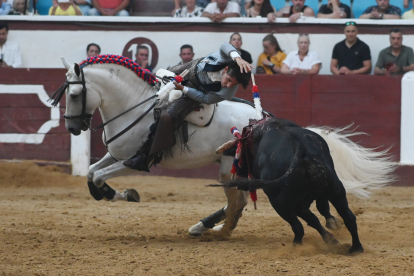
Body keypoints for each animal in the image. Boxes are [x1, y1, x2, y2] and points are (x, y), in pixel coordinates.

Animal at [55, 55, 394, 235]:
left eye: (74, 94)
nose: (72, 127)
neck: (135, 105)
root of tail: (264, 120)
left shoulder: (134, 162)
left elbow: (99, 177)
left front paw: (126, 194)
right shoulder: (115, 155)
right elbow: (91, 173)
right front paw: (114, 193)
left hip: (228, 166)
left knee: (237, 201)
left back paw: (212, 229)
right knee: (237, 200)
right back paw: (205, 227)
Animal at [220, 117, 362, 253]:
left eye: (240, 156)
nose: (240, 182)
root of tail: (301, 150)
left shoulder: (290, 203)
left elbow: (310, 220)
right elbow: (321, 210)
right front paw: (332, 226)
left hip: (280, 203)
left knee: (299, 225)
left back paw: (300, 244)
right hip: (336, 190)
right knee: (348, 216)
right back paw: (356, 248)